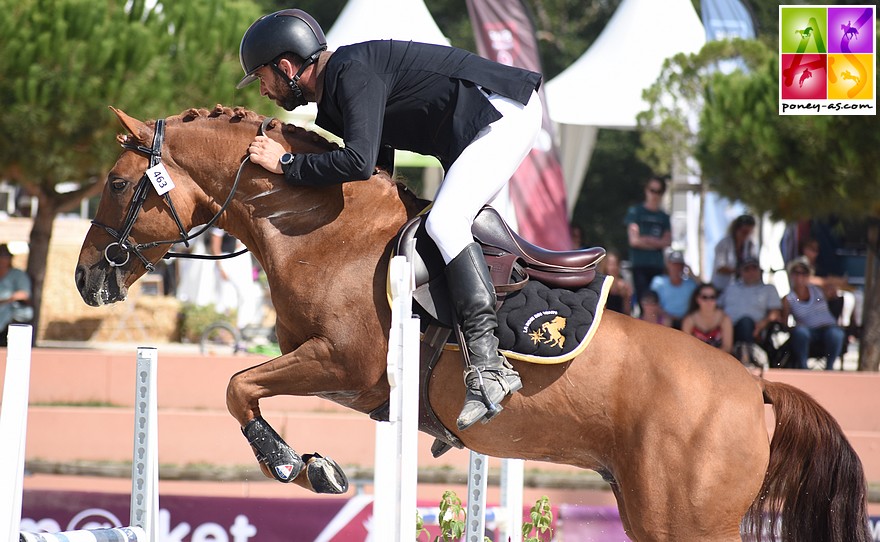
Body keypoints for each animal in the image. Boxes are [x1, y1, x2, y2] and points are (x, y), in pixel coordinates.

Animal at [77, 107, 872, 542]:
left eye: (115, 185)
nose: (86, 279)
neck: (325, 230)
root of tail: (758, 387)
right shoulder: (336, 372)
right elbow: (244, 383)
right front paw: (308, 463)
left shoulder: (346, 366)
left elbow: (238, 386)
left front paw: (294, 465)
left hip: (690, 521)